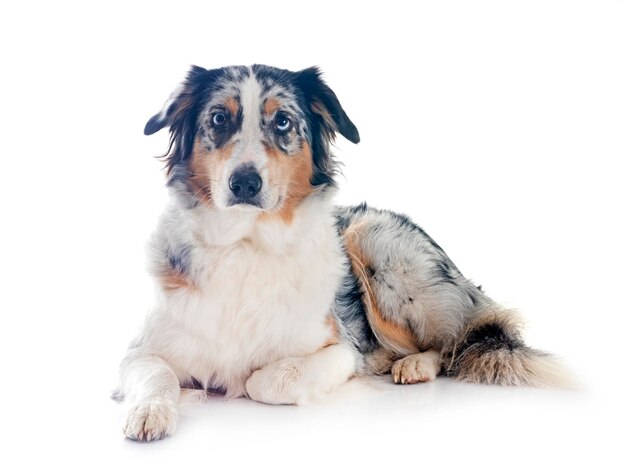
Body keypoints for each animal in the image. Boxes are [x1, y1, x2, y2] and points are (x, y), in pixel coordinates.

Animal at [114, 64, 564, 440]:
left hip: (374, 242)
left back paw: (411, 364)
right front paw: (150, 413)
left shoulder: (340, 350)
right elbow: (156, 375)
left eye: (283, 121)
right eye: (219, 118)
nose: (244, 183)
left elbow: (264, 380)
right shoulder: (139, 350)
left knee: (452, 339)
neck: (246, 244)